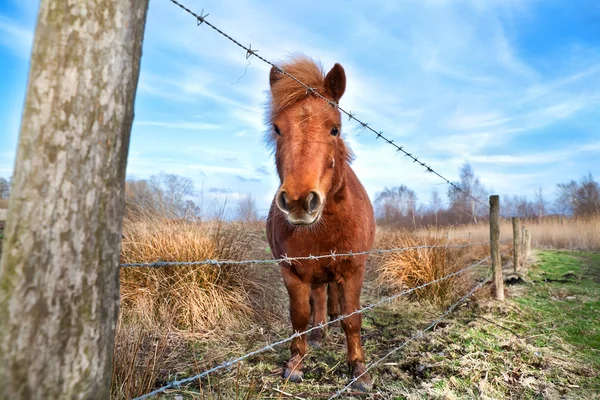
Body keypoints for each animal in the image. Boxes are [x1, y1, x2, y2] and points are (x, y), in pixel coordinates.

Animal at [266, 56, 376, 390]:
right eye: (277, 128)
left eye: (335, 129)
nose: (300, 201)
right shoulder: (291, 271)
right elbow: (299, 316)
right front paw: (295, 363)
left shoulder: (353, 268)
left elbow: (352, 318)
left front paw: (359, 371)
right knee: (317, 300)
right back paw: (318, 334)